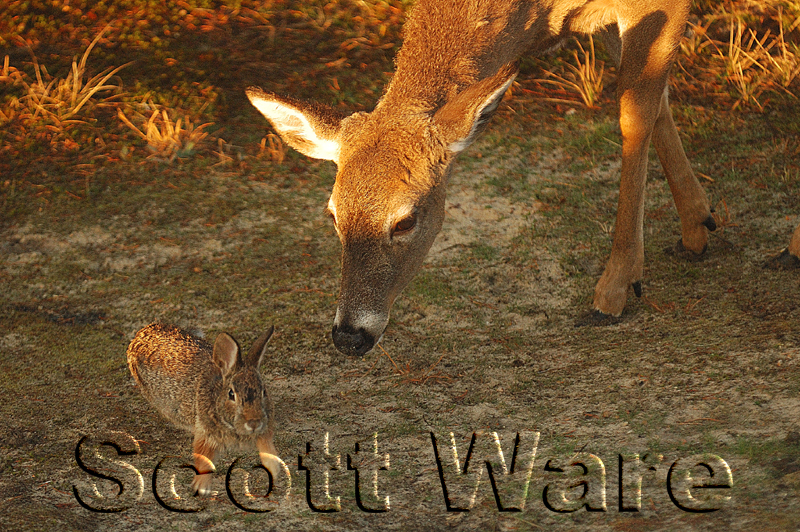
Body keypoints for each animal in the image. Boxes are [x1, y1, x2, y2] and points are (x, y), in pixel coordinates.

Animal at [126, 322, 279, 496]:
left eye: (263, 391)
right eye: (231, 394)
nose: (253, 423)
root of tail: (142, 333)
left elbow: (267, 447)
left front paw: (274, 470)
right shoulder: (205, 432)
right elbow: (204, 458)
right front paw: (202, 487)